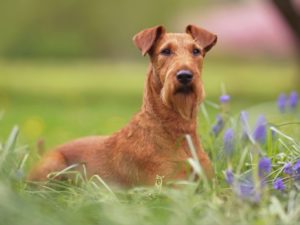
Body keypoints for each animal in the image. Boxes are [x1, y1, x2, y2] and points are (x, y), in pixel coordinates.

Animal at [28, 24, 217, 186]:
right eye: (165, 51)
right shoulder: (168, 186)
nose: (185, 75)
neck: (179, 129)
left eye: (196, 51)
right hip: (53, 165)